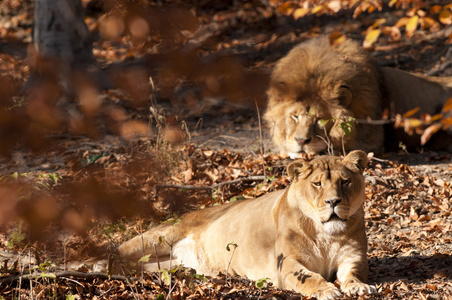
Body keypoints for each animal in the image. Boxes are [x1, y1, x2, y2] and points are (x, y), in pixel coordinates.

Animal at [118, 151, 376, 298]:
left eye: (345, 182)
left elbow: (354, 273)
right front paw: (326, 290)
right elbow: (308, 277)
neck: (326, 234)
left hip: (166, 263)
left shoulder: (354, 256)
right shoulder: (286, 263)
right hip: (159, 236)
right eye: (317, 184)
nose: (333, 201)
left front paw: (358, 287)